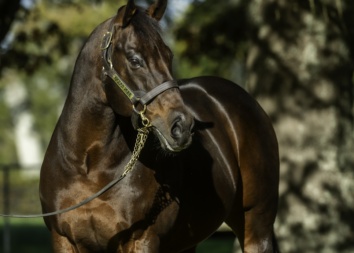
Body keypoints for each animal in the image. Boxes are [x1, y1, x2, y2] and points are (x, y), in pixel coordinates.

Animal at [39, 0, 280, 253]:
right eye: (135, 60)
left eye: (169, 55)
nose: (182, 127)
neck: (89, 168)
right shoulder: (64, 240)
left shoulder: (142, 239)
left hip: (256, 227)